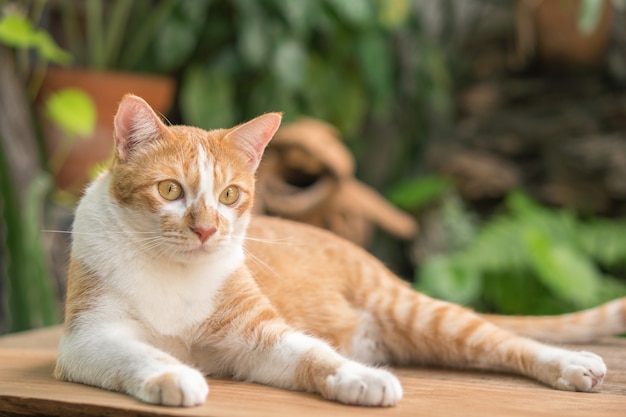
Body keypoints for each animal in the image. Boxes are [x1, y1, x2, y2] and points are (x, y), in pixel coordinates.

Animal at [54, 93, 624, 406]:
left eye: (229, 195)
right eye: (170, 190)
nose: (206, 230)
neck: (175, 271)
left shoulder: (259, 337)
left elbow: (313, 353)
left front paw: (358, 378)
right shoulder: (86, 340)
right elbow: (138, 351)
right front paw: (174, 375)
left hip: (416, 312)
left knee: (506, 341)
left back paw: (569, 364)